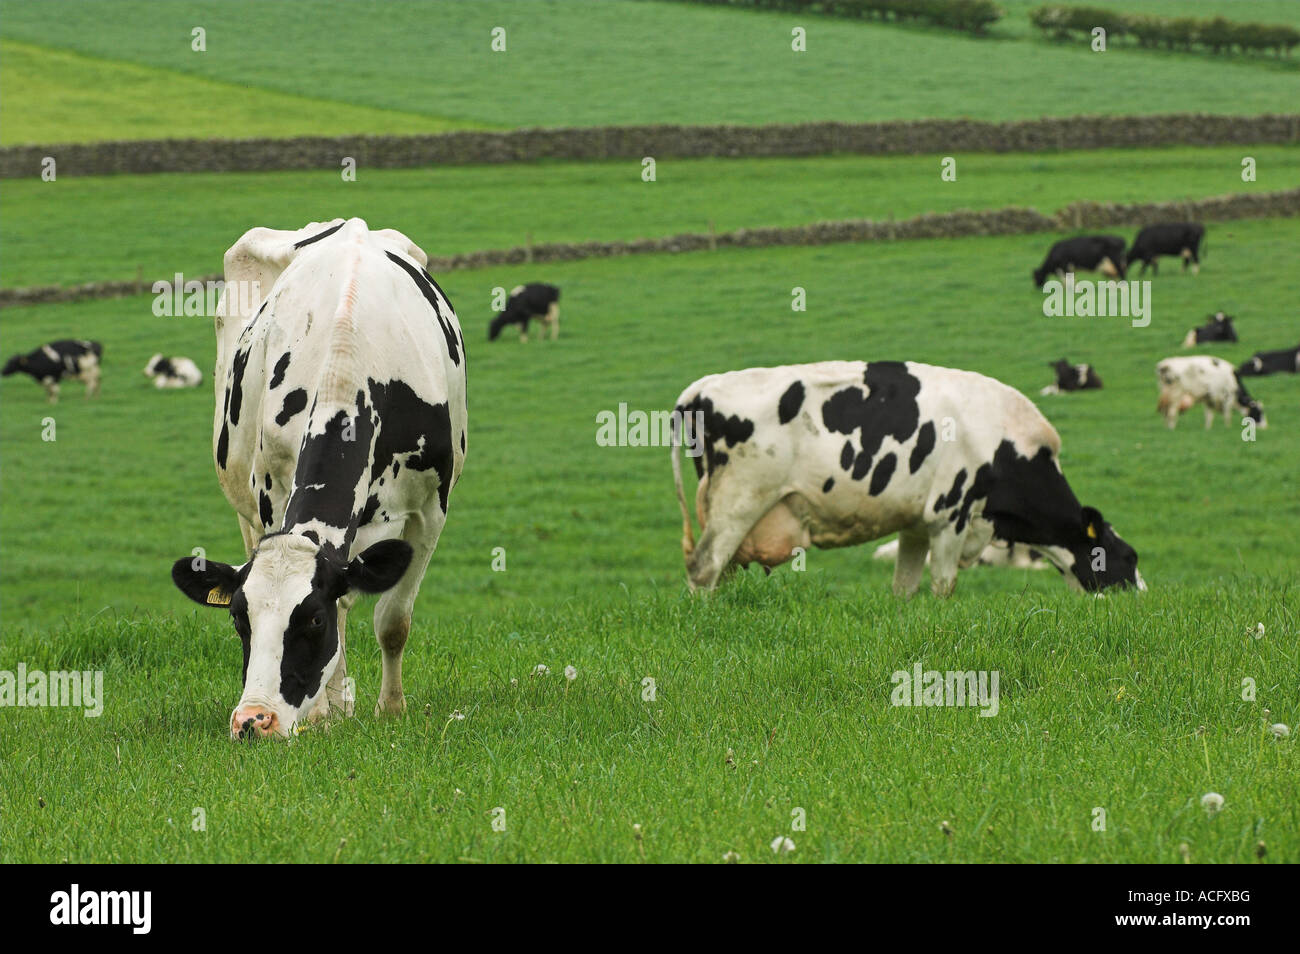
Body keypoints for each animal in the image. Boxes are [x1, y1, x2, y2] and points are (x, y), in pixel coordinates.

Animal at [169, 218, 468, 740]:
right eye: (239, 620)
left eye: (311, 620)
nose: (253, 720)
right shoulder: (271, 496)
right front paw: (323, 714)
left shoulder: (430, 511)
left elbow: (393, 621)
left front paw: (391, 709)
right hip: (244, 505)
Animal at [670, 361, 1143, 597]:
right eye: (1129, 556)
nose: (1141, 596)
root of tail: (698, 390)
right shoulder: (951, 514)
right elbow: (943, 586)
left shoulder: (916, 524)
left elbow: (904, 589)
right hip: (739, 500)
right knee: (703, 567)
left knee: (721, 571)